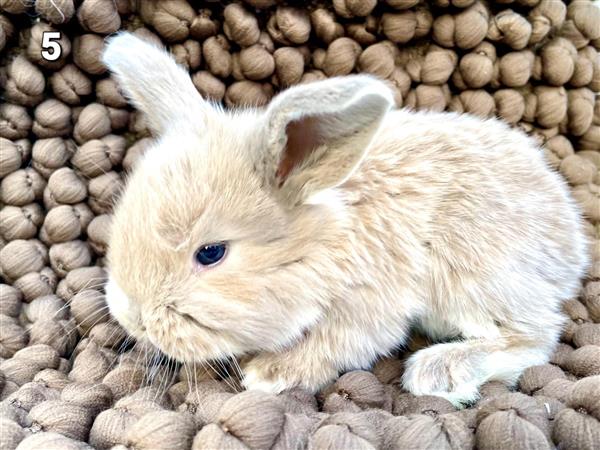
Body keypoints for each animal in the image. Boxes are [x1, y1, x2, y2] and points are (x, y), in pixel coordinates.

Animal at [103, 33, 592, 406]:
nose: (133, 318)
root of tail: (573, 244)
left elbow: (332, 344)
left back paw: (439, 371)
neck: (328, 238)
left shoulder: (370, 304)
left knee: (535, 336)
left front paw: (270, 372)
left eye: (211, 253)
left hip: (471, 276)